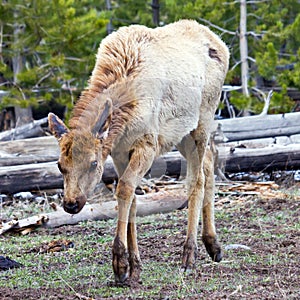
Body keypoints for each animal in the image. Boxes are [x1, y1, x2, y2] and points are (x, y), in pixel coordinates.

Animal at [48, 19, 229, 282]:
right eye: (60, 165)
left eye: (93, 163)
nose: (71, 204)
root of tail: (220, 43)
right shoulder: (120, 152)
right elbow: (132, 197)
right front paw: (134, 265)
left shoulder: (147, 145)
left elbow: (124, 189)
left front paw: (120, 263)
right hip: (183, 135)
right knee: (209, 165)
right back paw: (212, 244)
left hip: (203, 120)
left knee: (197, 180)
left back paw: (189, 254)